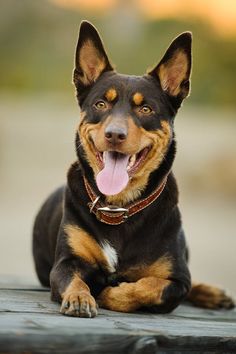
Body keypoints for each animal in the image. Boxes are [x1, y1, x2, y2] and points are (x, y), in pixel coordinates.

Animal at [32, 20, 234, 316]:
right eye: (100, 104)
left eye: (146, 109)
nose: (115, 134)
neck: (118, 208)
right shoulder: (65, 263)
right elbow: (75, 279)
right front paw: (81, 297)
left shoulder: (177, 280)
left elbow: (149, 287)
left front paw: (109, 293)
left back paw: (212, 293)